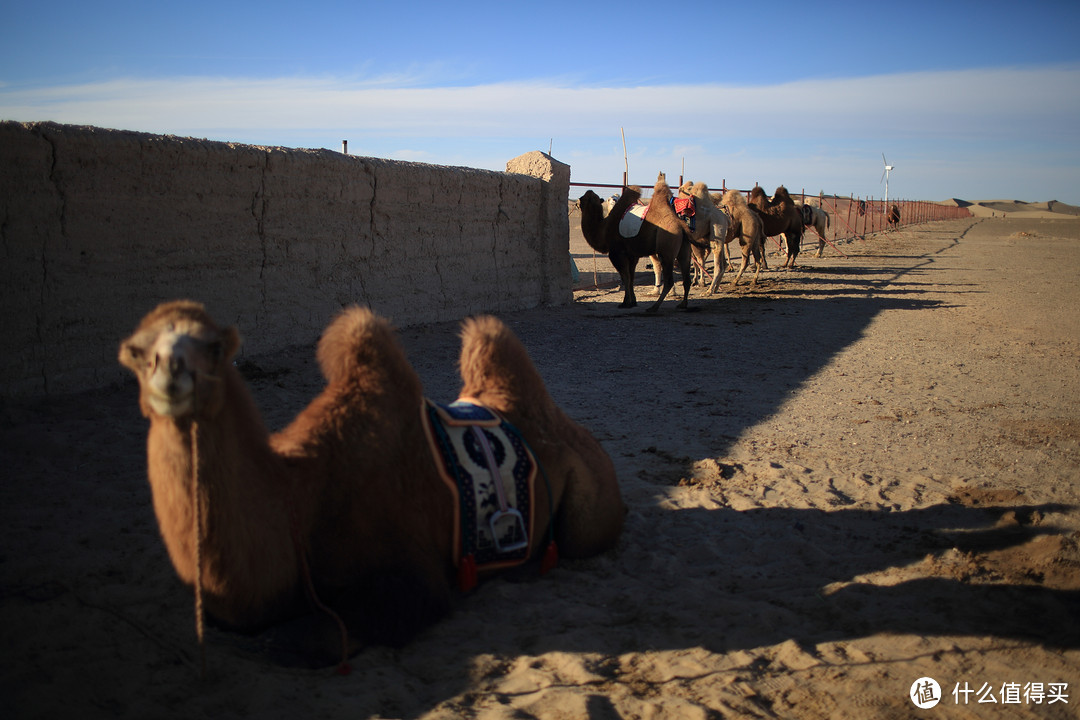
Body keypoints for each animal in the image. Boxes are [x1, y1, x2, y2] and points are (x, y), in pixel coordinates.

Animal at [118, 302, 626, 669]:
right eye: (138, 352)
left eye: (212, 348)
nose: (170, 375)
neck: (299, 496)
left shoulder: (410, 575)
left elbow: (331, 634)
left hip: (590, 507)